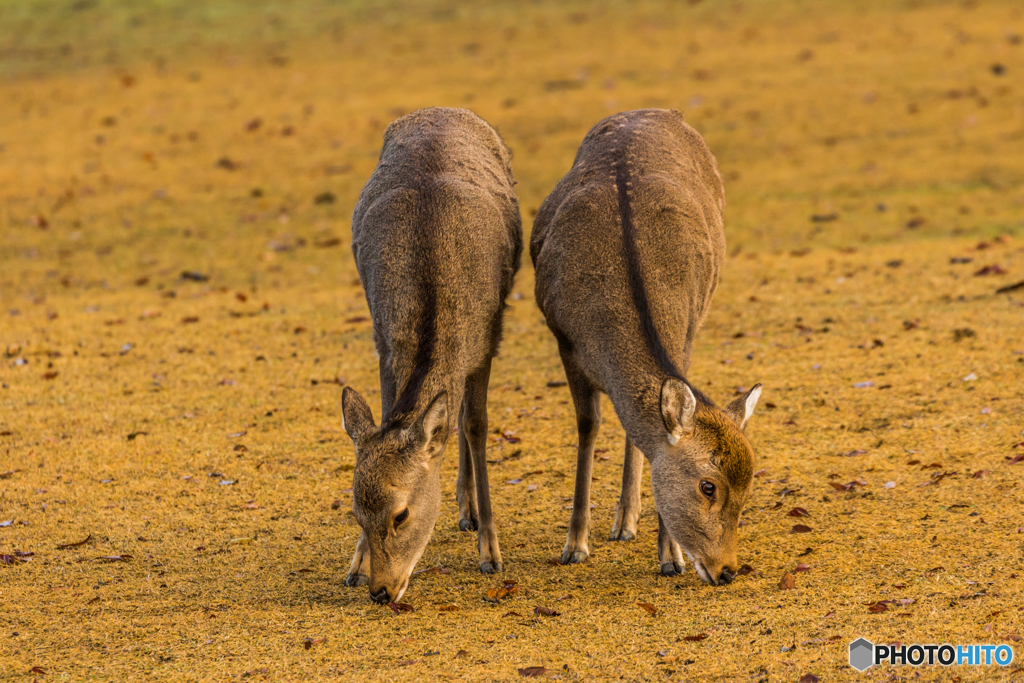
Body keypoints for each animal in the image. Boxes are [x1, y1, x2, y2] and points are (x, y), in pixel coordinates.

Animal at [342, 107, 520, 602]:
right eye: (357, 514)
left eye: (401, 514)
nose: (381, 591)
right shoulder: (384, 342)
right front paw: (354, 565)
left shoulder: (487, 339)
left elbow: (476, 426)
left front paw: (491, 553)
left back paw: (470, 511)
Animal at [536, 109, 761, 585]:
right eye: (708, 486)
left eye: (750, 488)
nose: (727, 571)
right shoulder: (564, 339)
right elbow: (588, 427)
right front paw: (574, 546)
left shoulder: (688, 332)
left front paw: (670, 556)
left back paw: (627, 522)